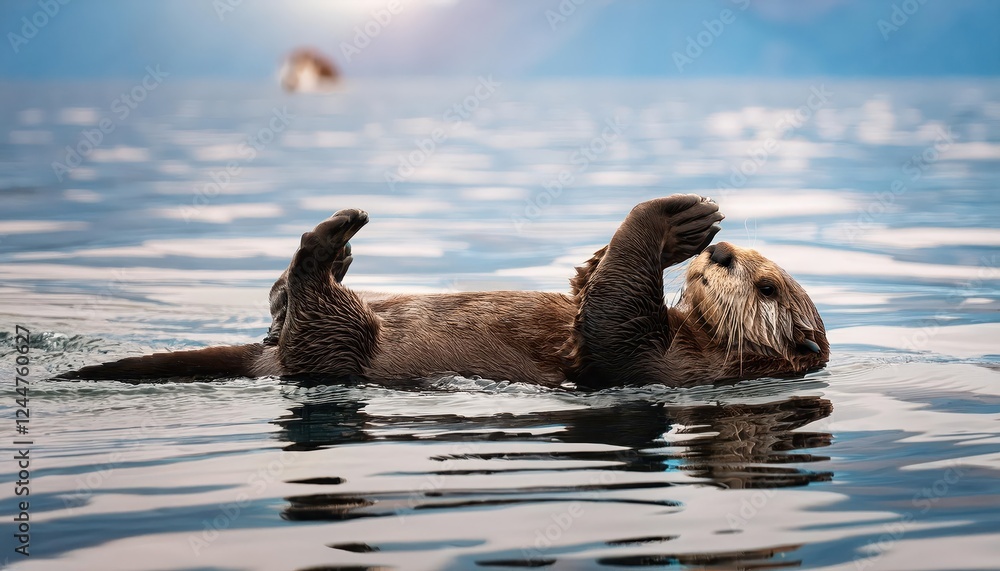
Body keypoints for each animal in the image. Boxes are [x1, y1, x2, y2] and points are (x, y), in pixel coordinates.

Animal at [58, 195, 829, 388]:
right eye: (743, 258)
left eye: (765, 283)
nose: (720, 253)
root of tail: (267, 358)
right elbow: (589, 286)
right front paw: (688, 227)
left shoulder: (657, 365)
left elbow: (612, 316)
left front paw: (667, 218)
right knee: (284, 305)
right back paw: (338, 255)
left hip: (334, 347)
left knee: (312, 310)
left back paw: (332, 241)